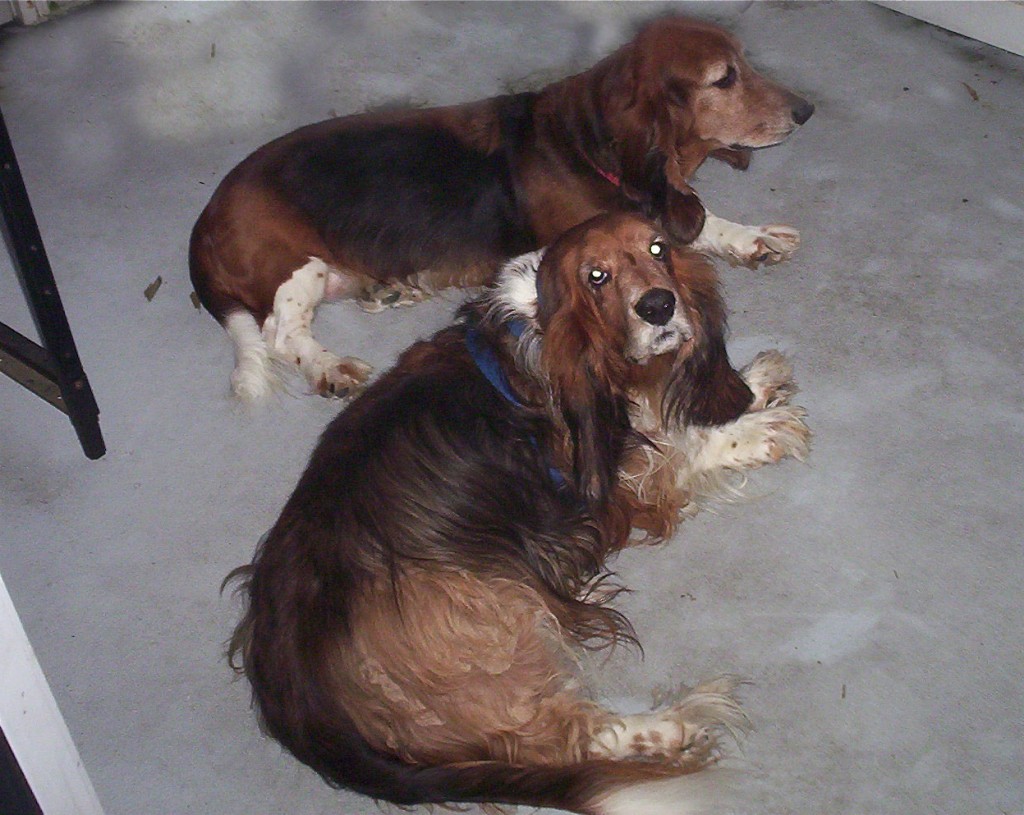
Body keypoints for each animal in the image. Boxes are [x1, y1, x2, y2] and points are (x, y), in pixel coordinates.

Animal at [190, 15, 813, 402]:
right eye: (724, 78)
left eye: (745, 62)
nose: (806, 110)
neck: (587, 145)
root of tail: (207, 217)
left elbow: (698, 224)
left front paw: (754, 238)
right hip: (296, 264)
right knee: (280, 331)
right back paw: (330, 366)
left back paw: (387, 291)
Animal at [225, 213, 810, 814]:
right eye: (596, 276)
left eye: (658, 249)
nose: (658, 306)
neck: (540, 328)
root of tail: (292, 700)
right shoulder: (629, 482)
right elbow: (687, 447)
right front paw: (761, 430)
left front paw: (754, 384)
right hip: (494, 612)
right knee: (565, 735)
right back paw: (677, 724)